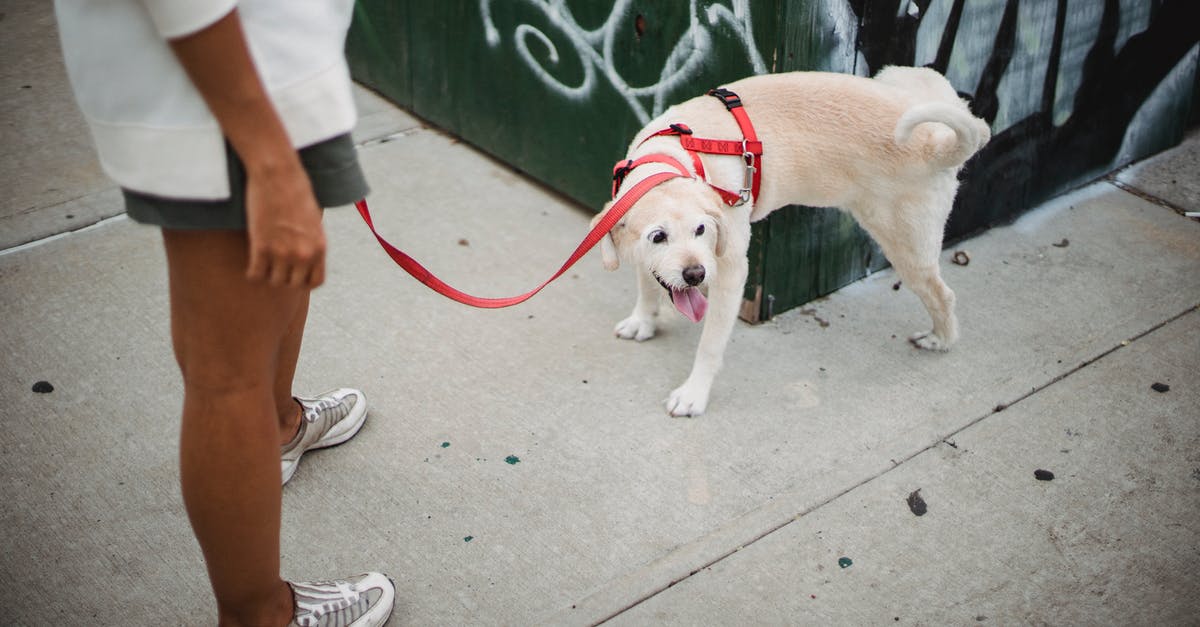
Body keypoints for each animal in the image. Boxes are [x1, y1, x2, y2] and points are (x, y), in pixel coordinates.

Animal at [590, 65, 993, 415]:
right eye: (658, 236)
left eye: (702, 230)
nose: (695, 275)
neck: (674, 157)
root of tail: (935, 143)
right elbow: (647, 285)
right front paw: (642, 321)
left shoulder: (731, 272)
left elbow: (709, 344)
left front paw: (694, 394)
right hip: (904, 76)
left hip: (907, 246)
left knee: (942, 294)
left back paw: (941, 340)